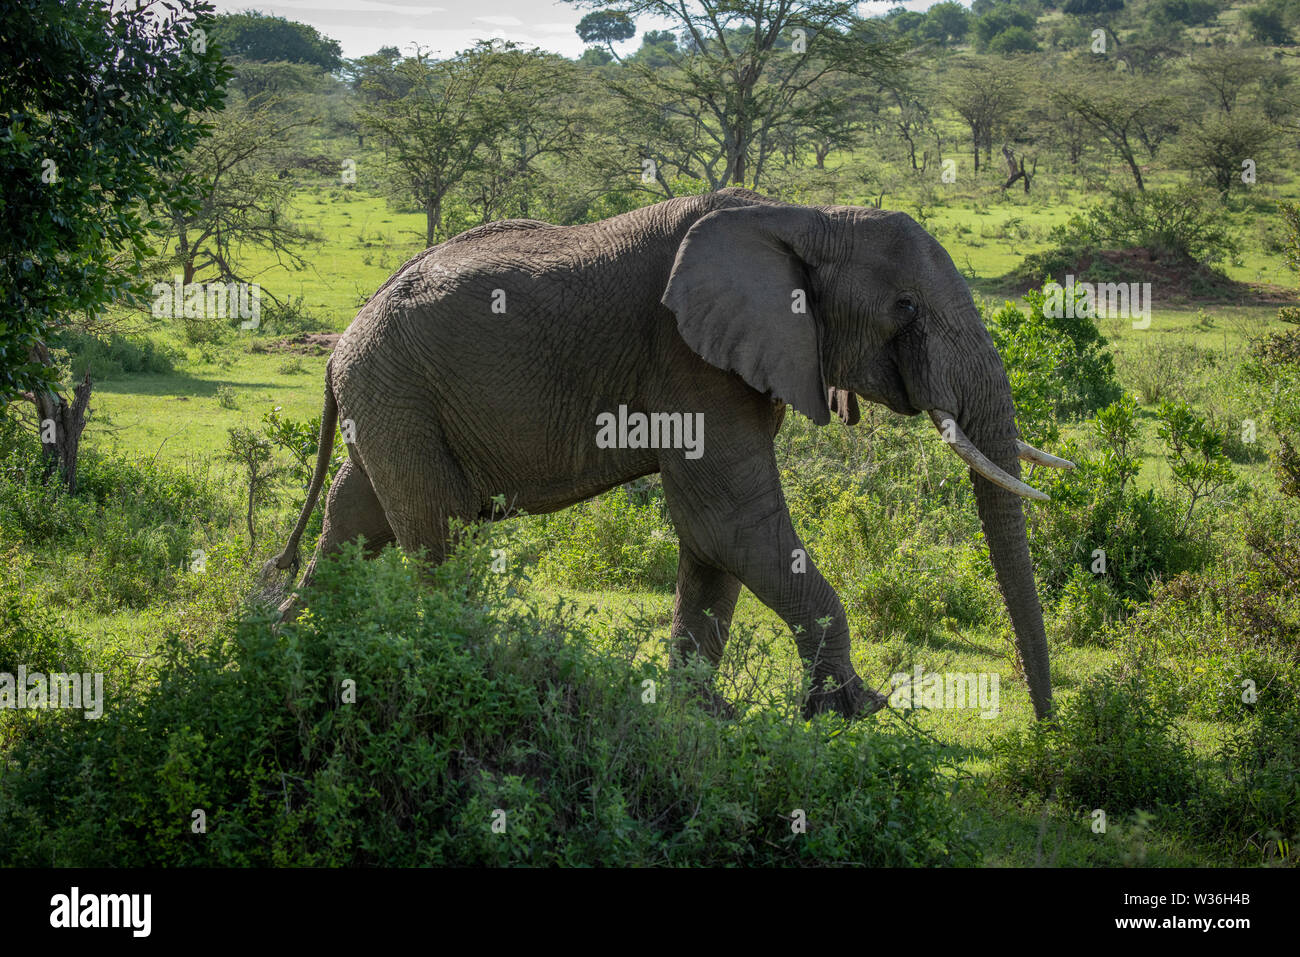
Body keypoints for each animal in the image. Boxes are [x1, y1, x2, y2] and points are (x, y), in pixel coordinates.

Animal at [272, 187, 1073, 721]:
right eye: (905, 308)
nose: (1042, 724)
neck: (802, 216)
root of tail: (338, 347)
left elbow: (713, 543)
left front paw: (699, 715)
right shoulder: (688, 358)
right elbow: (732, 525)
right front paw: (855, 709)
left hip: (388, 402)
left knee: (354, 521)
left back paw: (282, 635)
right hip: (399, 392)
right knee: (438, 536)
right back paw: (466, 666)